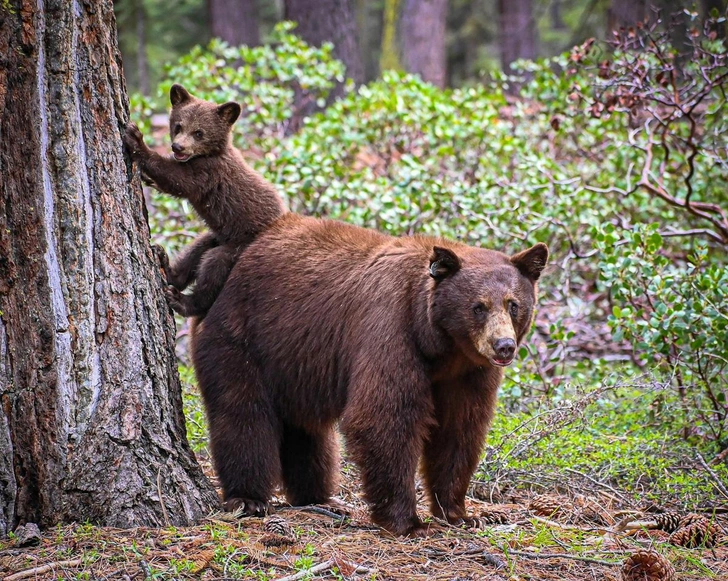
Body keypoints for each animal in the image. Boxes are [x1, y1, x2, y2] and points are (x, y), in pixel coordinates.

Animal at [193, 212, 544, 536]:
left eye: (513, 304)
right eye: (478, 306)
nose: (504, 346)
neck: (440, 346)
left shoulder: (469, 371)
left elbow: (459, 429)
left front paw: (461, 513)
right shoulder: (390, 328)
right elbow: (384, 416)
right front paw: (408, 522)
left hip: (294, 361)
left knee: (307, 430)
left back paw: (318, 497)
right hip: (241, 336)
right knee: (243, 414)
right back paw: (249, 498)